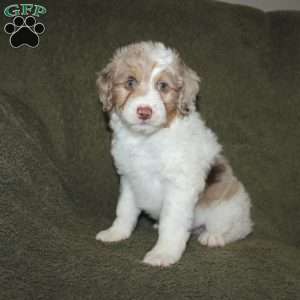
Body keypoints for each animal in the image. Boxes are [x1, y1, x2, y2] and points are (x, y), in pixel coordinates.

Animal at [95, 40, 252, 268]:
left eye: (163, 86)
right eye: (130, 82)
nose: (144, 112)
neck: (146, 139)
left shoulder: (180, 186)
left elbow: (172, 223)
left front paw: (163, 253)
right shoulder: (129, 179)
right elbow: (124, 210)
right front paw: (116, 233)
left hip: (229, 204)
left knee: (238, 229)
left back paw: (213, 236)